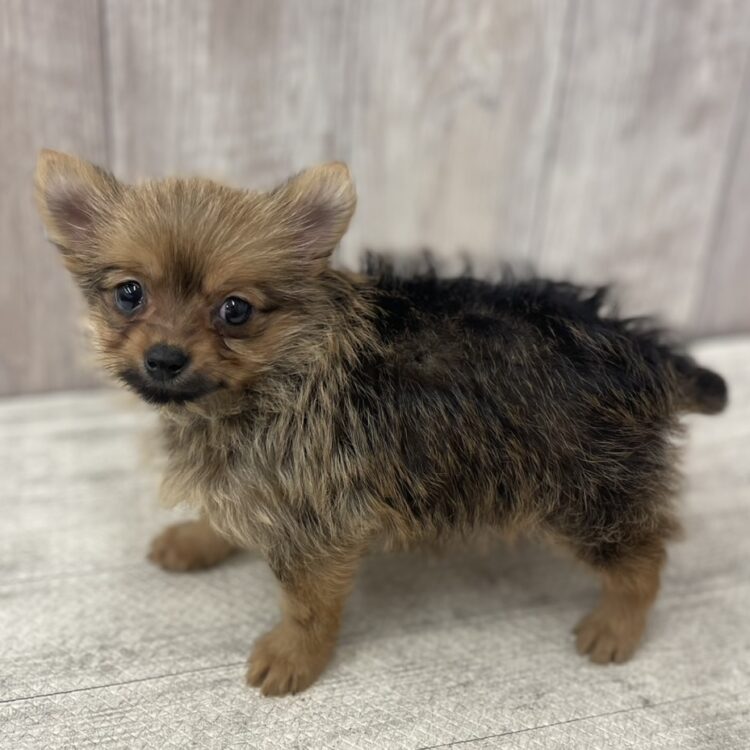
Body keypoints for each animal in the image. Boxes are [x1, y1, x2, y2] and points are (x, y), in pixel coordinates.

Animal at [34, 150, 728, 695]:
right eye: (130, 294)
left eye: (235, 310)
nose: (164, 358)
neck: (277, 372)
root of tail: (644, 350)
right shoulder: (259, 479)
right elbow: (223, 507)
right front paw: (198, 539)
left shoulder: (316, 522)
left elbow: (308, 607)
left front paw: (293, 658)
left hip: (585, 492)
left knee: (645, 558)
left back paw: (616, 628)